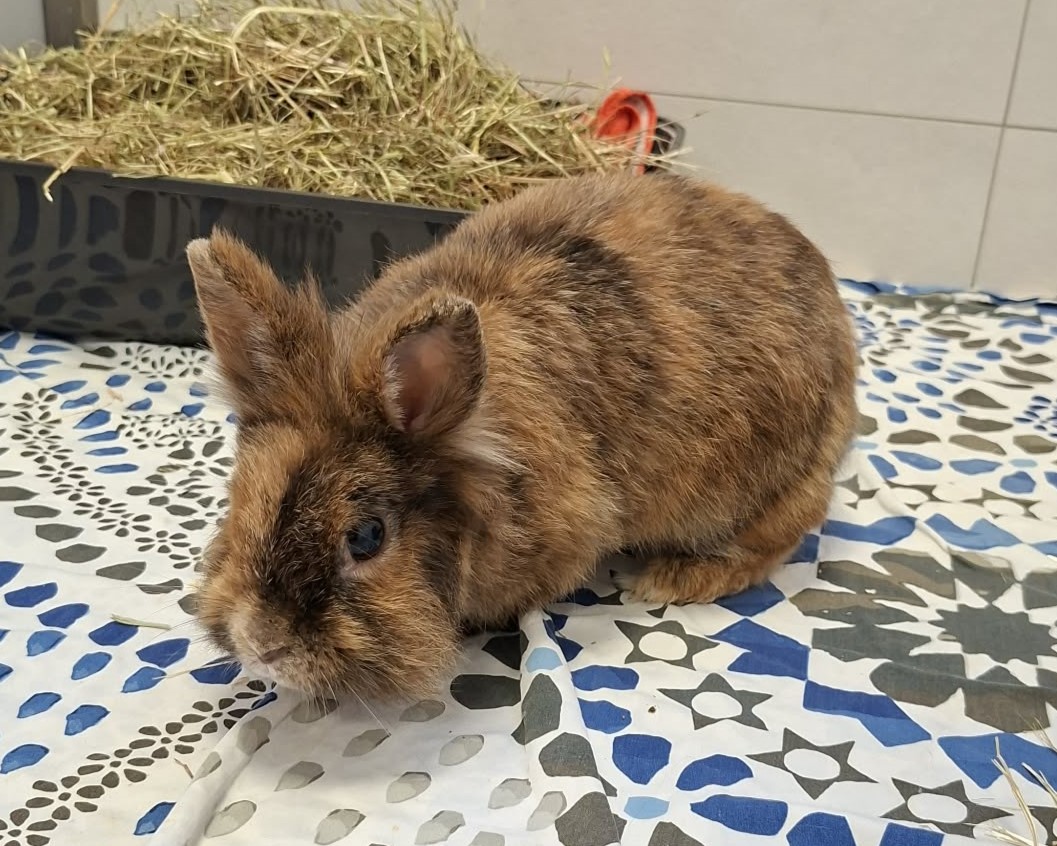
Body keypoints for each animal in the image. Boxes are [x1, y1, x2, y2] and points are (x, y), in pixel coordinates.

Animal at [185, 171, 858, 700]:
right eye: (239, 500)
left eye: (368, 537)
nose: (260, 643)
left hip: (772, 493)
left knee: (770, 547)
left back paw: (667, 579)